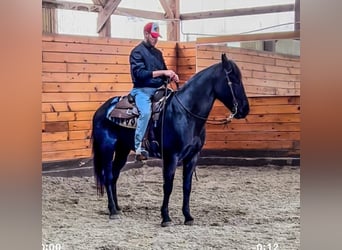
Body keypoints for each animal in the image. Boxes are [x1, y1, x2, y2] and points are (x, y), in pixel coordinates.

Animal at [92, 53, 250, 226]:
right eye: (234, 79)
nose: (245, 109)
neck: (186, 113)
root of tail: (101, 109)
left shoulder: (192, 156)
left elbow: (187, 186)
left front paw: (188, 216)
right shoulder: (171, 157)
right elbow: (168, 186)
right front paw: (165, 217)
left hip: (122, 149)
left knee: (114, 175)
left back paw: (118, 208)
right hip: (107, 147)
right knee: (108, 176)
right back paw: (112, 210)